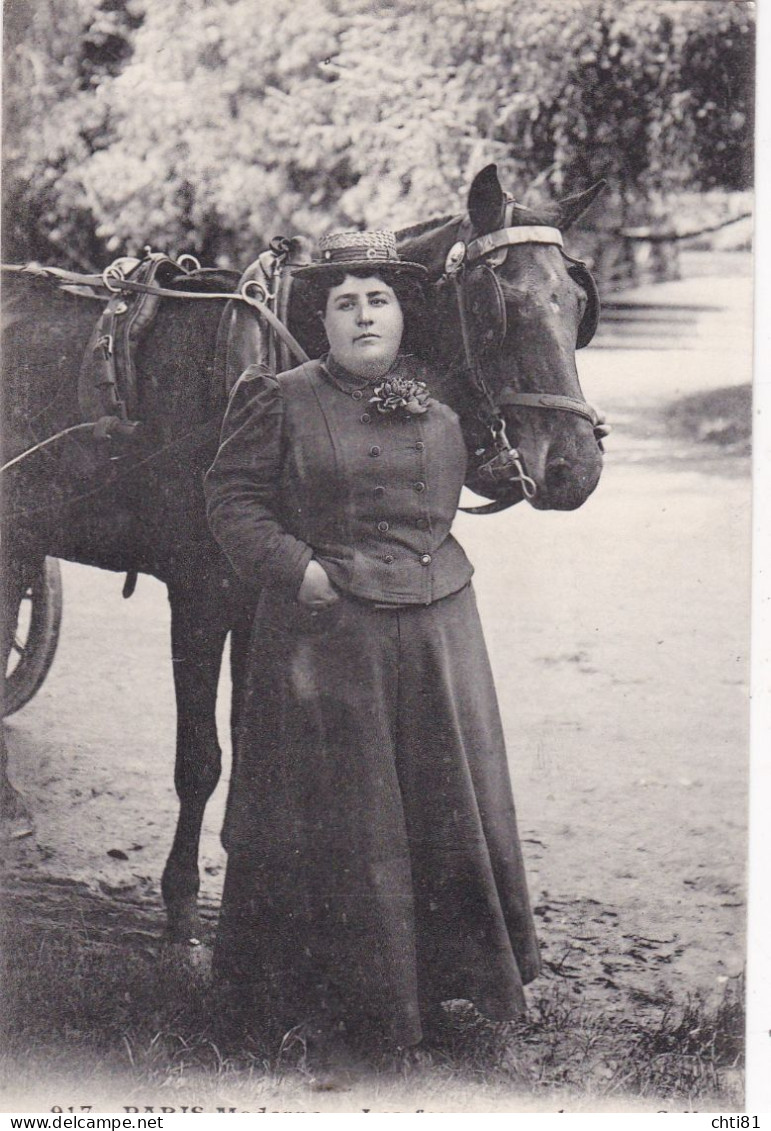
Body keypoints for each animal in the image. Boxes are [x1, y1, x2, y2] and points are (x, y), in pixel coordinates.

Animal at [0, 165, 601, 945]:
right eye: (501, 304)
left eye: (577, 303)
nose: (576, 467)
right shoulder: (201, 594)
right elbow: (201, 758)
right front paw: (182, 904)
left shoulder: (266, 592)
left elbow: (253, 737)